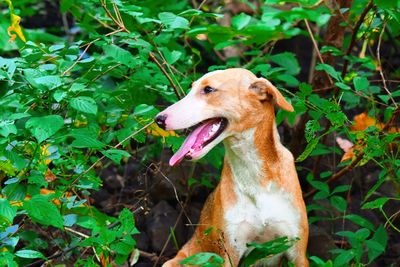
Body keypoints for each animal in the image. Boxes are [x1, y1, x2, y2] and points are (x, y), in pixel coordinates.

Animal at [155, 68, 308, 266]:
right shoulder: (230, 252)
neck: (252, 170)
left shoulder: (298, 253)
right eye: (191, 88)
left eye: (209, 90)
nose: (159, 119)